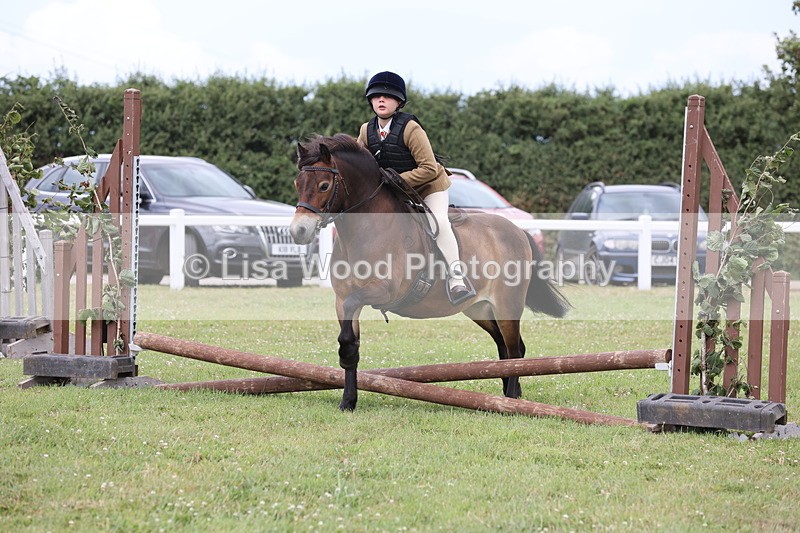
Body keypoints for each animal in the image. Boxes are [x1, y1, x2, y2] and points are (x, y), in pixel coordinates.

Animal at [290, 133, 570, 411]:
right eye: (297, 183)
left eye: (324, 186)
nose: (298, 232)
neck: (365, 230)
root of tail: (518, 230)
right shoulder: (341, 299)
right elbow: (350, 347)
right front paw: (348, 401)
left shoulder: (383, 291)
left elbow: (352, 319)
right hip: (479, 309)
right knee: (505, 347)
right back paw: (508, 397)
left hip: (506, 305)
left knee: (513, 350)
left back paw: (510, 399)